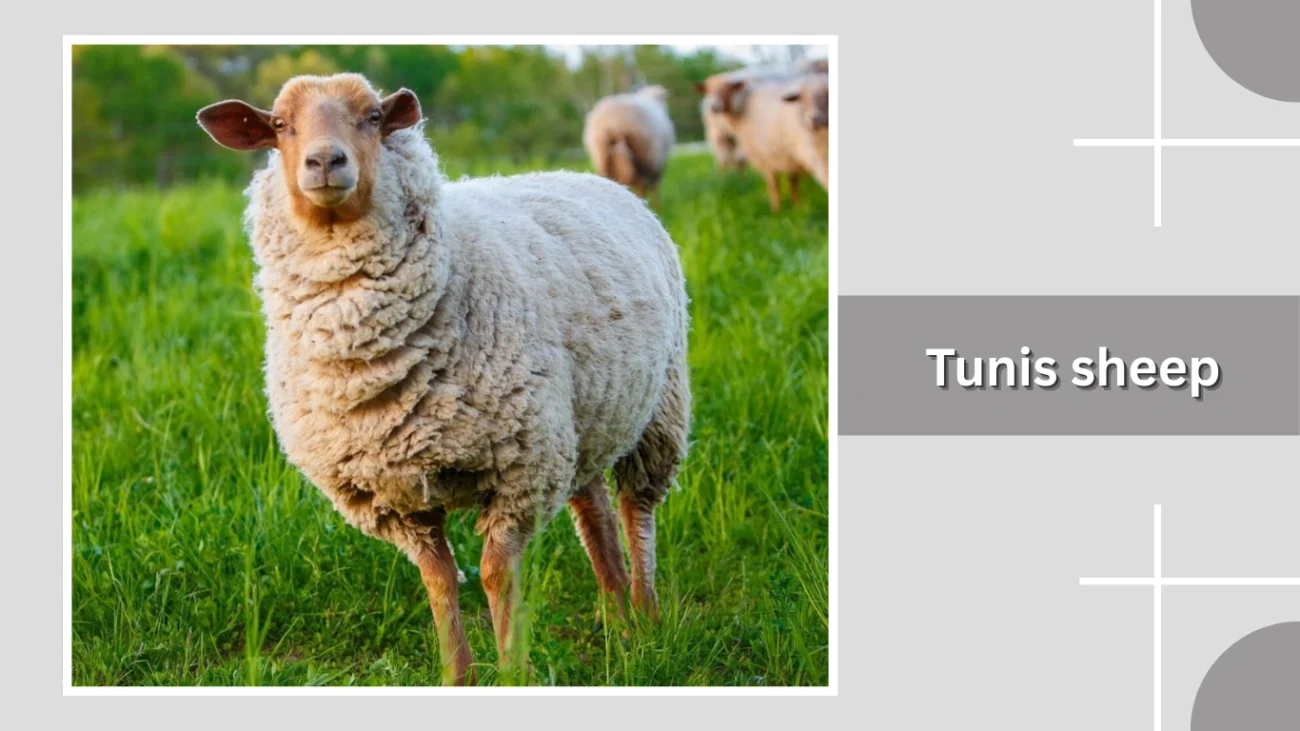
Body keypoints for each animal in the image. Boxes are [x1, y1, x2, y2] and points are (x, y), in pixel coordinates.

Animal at [195, 73, 691, 686]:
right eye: (280, 125)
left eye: (374, 117)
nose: (325, 160)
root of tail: (587, 176)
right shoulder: (395, 497)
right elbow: (437, 580)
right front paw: (459, 676)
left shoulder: (519, 469)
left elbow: (496, 573)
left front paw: (514, 672)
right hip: (583, 419)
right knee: (594, 511)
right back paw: (617, 617)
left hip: (658, 405)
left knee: (636, 509)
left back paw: (644, 617)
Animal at [715, 70, 829, 212]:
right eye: (802, 98)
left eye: (728, 90)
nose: (813, 119)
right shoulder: (786, 158)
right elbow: (786, 184)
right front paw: (792, 209)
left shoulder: (769, 158)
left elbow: (778, 185)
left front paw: (779, 210)